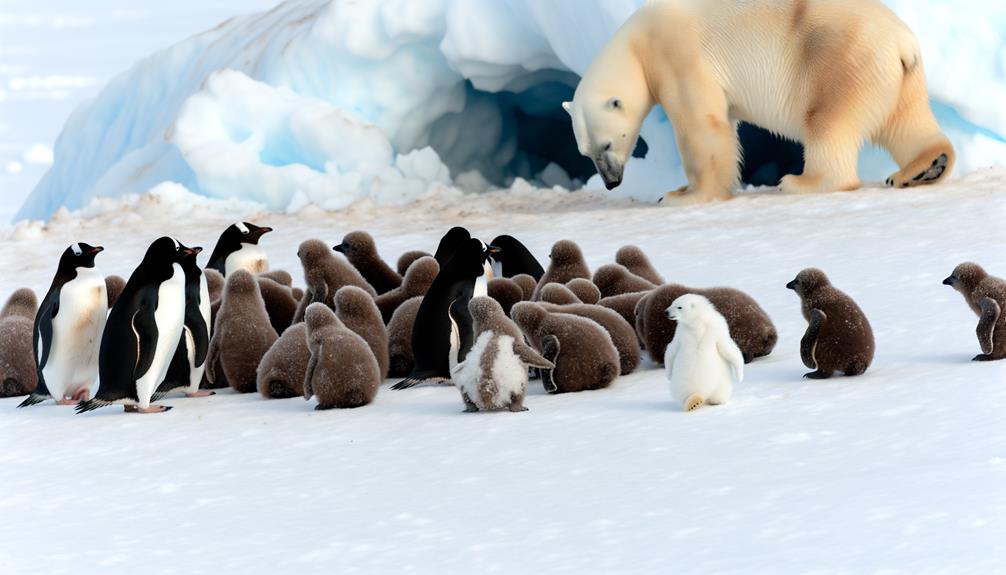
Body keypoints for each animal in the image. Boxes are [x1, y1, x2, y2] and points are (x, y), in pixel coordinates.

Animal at [563, 0, 953, 203]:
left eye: (607, 143)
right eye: (585, 152)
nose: (611, 182)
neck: (636, 45)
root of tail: (903, 42)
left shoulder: (676, 52)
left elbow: (701, 125)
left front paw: (684, 195)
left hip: (842, 59)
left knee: (827, 121)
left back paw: (800, 181)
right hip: (898, 76)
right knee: (905, 121)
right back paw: (926, 166)